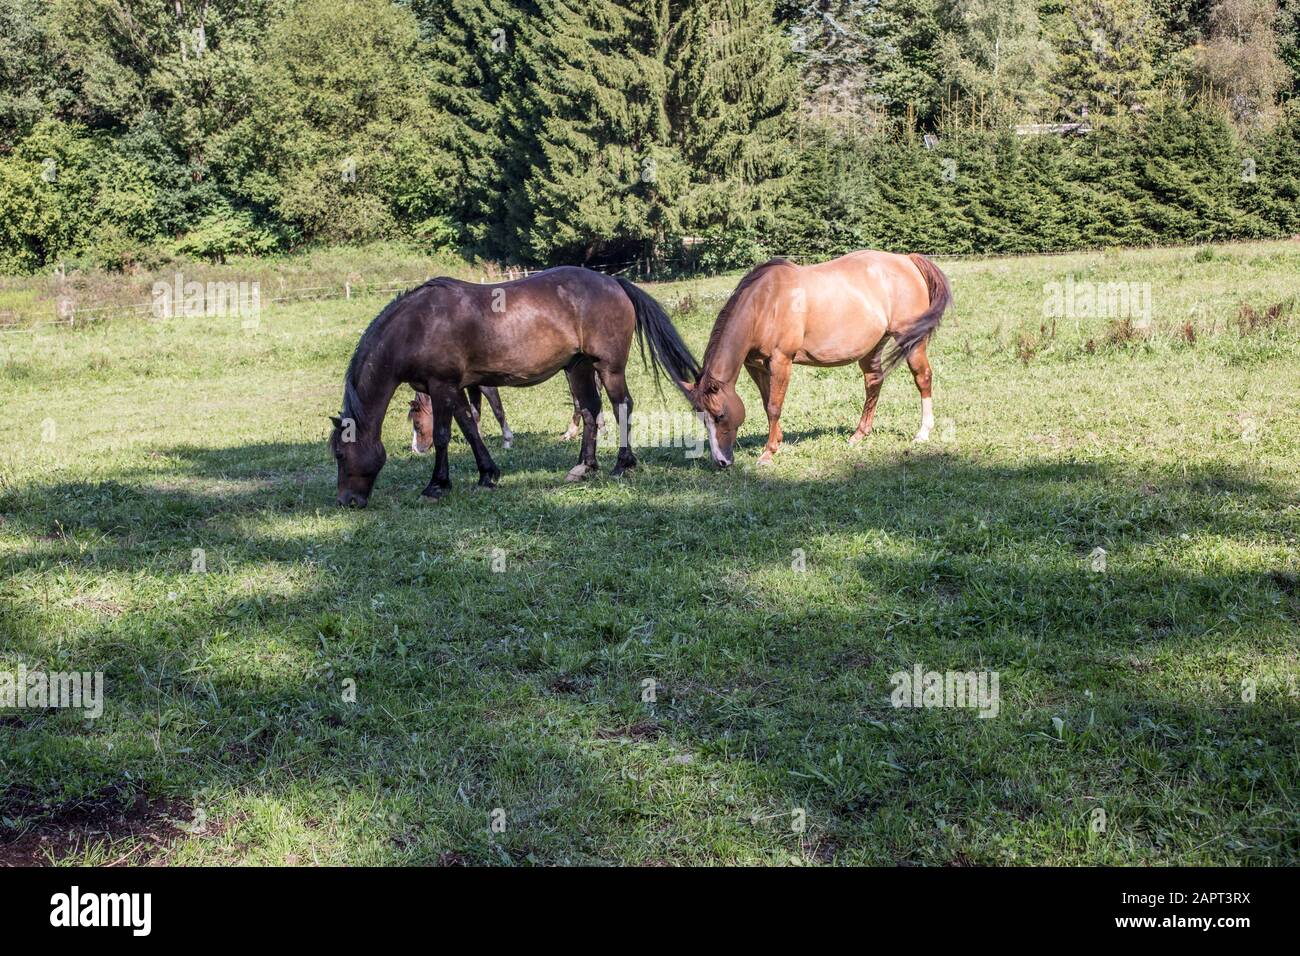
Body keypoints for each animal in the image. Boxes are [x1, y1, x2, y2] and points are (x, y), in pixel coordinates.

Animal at [335, 267, 702, 509]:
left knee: (620, 405)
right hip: (578, 367)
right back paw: (583, 467)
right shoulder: (456, 388)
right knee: (589, 410)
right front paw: (488, 475)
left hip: (607, 367)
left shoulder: (442, 387)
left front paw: (437, 485)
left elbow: (442, 436)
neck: (418, 325)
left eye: (340, 453)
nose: (346, 501)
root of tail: (614, 281)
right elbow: (470, 428)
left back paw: (622, 465)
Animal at [686, 251, 951, 468]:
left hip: (912, 341)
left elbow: (774, 407)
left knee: (922, 378)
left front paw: (769, 453)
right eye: (701, 418)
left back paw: (923, 433)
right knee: (874, 382)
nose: (721, 461)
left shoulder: (781, 361)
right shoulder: (756, 366)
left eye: (720, 415)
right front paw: (777, 440)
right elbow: (766, 403)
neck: (765, 304)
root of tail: (907, 260)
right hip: (873, 347)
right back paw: (859, 434)